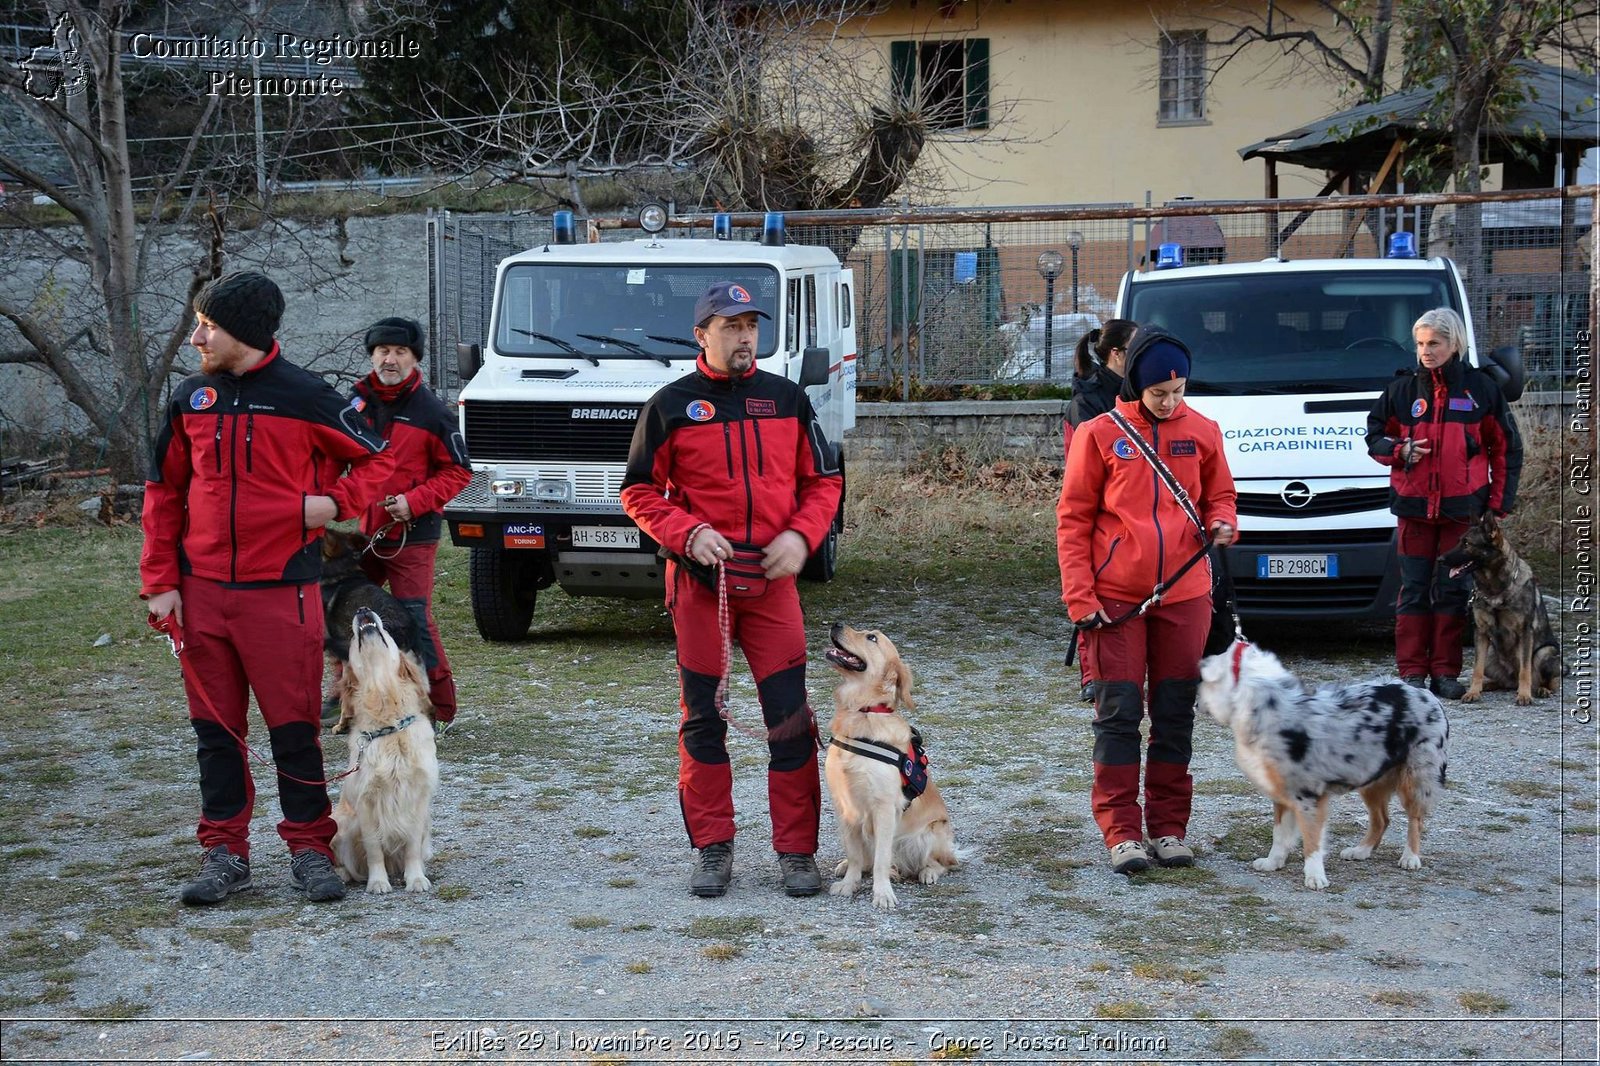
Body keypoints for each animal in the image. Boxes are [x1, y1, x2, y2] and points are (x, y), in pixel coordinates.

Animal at [1203, 640, 1452, 889]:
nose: (1197, 703)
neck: (1266, 704)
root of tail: (1425, 694)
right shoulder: (1281, 793)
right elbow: (1280, 834)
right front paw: (1273, 862)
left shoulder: (1309, 797)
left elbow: (1312, 840)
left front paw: (1315, 876)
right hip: (1371, 777)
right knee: (1382, 819)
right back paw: (1360, 851)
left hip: (1416, 778)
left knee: (1415, 819)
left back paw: (1410, 857)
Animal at [1446, 512, 1568, 704]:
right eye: (1459, 541)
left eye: (1467, 543)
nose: (1440, 559)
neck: (1495, 590)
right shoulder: (1481, 633)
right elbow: (1476, 669)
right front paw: (1473, 692)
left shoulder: (1525, 633)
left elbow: (1525, 671)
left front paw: (1524, 695)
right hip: (1490, 655)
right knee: (1501, 681)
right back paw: (1488, 685)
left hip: (1545, 653)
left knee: (1547, 681)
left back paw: (1541, 689)